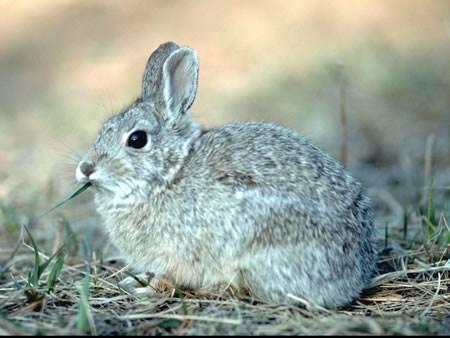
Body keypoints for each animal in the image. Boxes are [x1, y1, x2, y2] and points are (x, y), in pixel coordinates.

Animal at [75, 41, 378, 308]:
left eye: (137, 139)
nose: (86, 168)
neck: (170, 175)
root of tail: (356, 275)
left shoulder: (180, 254)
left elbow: (168, 278)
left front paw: (146, 290)